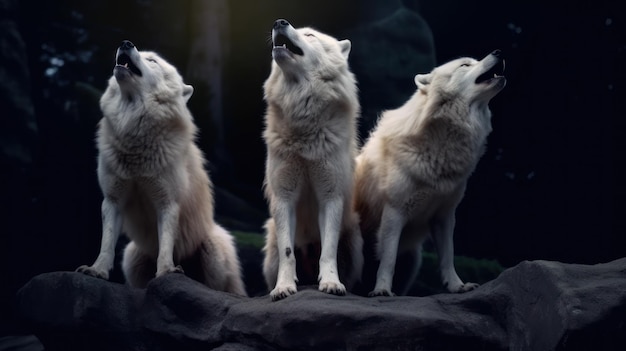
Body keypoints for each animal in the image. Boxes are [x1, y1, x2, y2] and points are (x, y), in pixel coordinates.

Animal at [76, 40, 246, 296]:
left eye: (152, 60)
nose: (126, 43)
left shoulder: (168, 202)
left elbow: (166, 244)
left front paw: (167, 271)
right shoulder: (112, 200)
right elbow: (106, 243)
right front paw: (97, 270)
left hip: (213, 250)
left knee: (218, 289)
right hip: (131, 257)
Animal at [260, 19, 364, 302]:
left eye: (309, 35)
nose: (279, 22)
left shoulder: (330, 197)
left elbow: (328, 250)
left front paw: (330, 283)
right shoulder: (284, 197)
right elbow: (288, 252)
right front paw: (284, 288)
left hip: (354, 240)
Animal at [354, 49, 504, 296]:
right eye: (465, 65)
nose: (498, 51)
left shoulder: (444, 216)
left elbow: (448, 257)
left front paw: (457, 286)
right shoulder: (394, 212)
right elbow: (388, 260)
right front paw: (382, 290)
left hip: (413, 260)